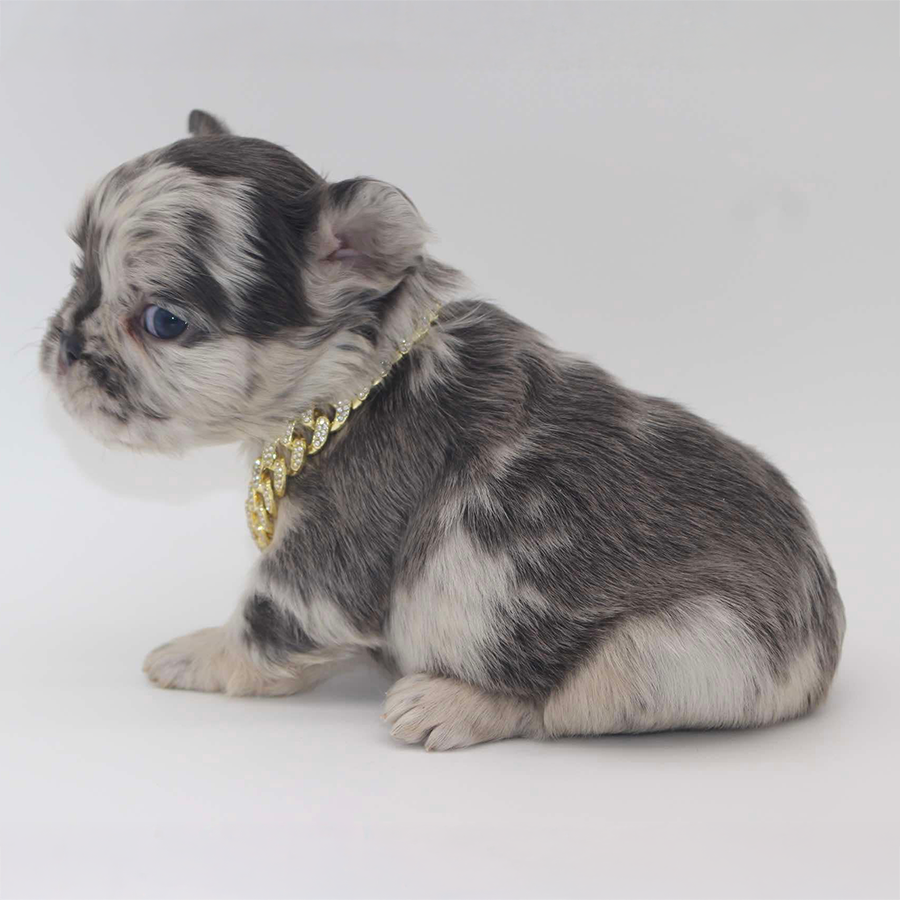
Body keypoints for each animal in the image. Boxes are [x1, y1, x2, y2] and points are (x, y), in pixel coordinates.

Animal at [40, 109, 844, 748]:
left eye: (162, 322)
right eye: (80, 275)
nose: (65, 345)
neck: (349, 385)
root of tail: (821, 644)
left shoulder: (326, 562)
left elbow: (261, 621)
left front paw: (195, 653)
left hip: (669, 653)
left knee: (555, 707)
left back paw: (445, 704)